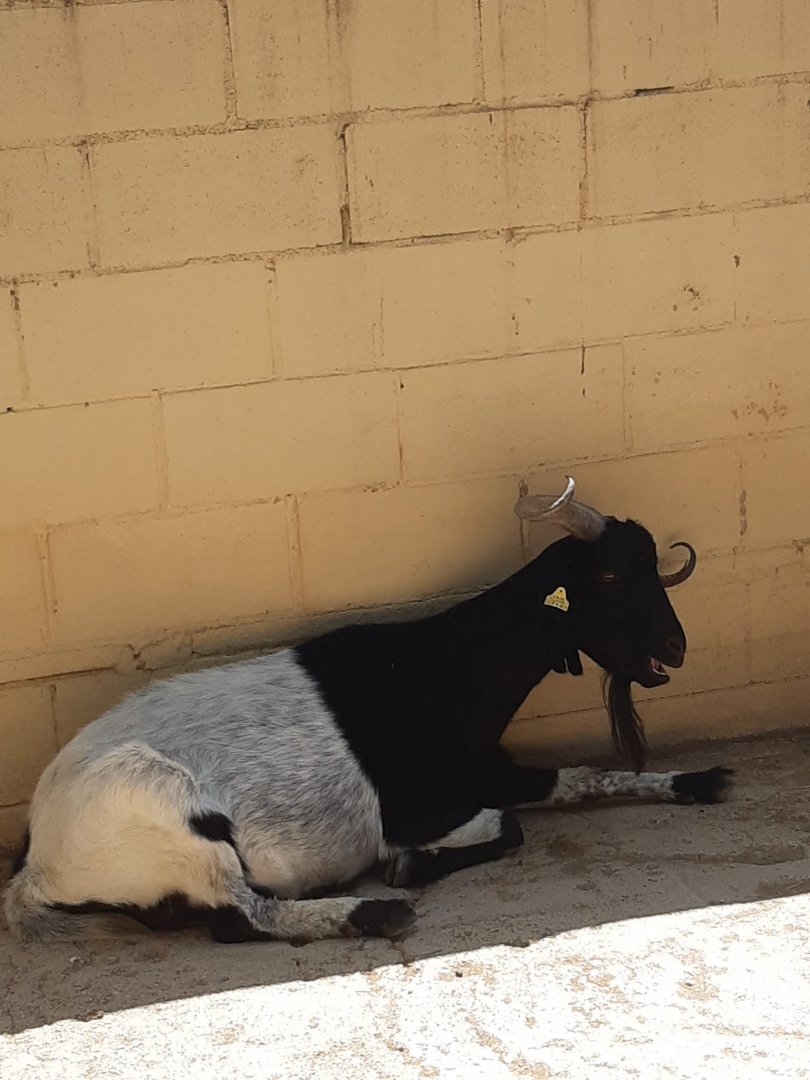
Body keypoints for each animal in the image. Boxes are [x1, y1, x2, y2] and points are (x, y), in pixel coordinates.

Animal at [5, 477, 733, 945]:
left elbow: (580, 777)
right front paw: (407, 866)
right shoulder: (417, 806)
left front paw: (697, 780)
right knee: (238, 918)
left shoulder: (487, 767)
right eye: (608, 576)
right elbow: (508, 826)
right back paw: (374, 914)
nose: (677, 646)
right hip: (178, 823)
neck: (441, 669)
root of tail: (38, 862)